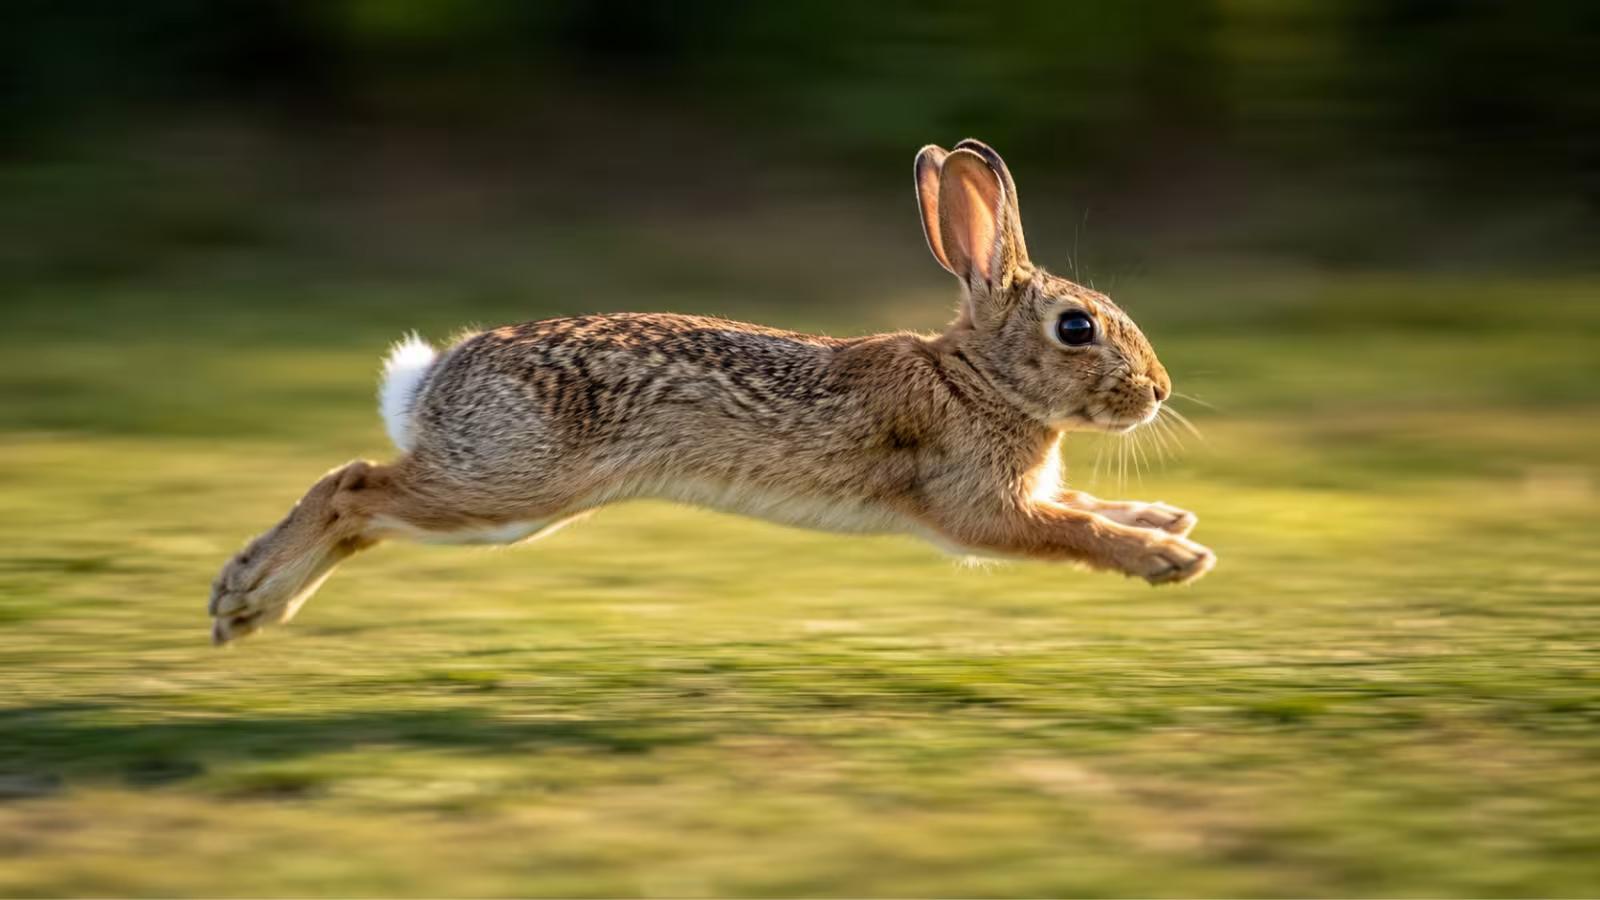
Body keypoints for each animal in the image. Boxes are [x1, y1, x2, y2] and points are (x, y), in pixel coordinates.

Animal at [209, 139, 1214, 644]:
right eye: (1076, 328)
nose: (1158, 391)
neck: (977, 378)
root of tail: (432, 382)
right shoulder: (978, 510)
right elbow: (1072, 530)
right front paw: (1170, 560)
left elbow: (1085, 504)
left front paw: (1168, 519)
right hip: (504, 489)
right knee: (349, 486)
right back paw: (242, 592)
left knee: (363, 510)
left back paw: (257, 610)